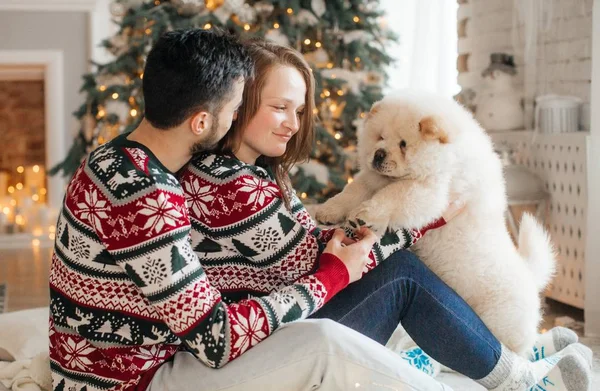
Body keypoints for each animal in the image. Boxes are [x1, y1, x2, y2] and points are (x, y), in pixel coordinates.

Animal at [316, 92, 556, 356]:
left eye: (403, 144)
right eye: (380, 137)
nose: (378, 154)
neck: (447, 157)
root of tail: (531, 279)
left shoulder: (431, 190)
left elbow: (392, 196)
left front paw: (364, 215)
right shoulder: (372, 180)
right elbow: (352, 190)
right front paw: (327, 211)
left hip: (501, 322)